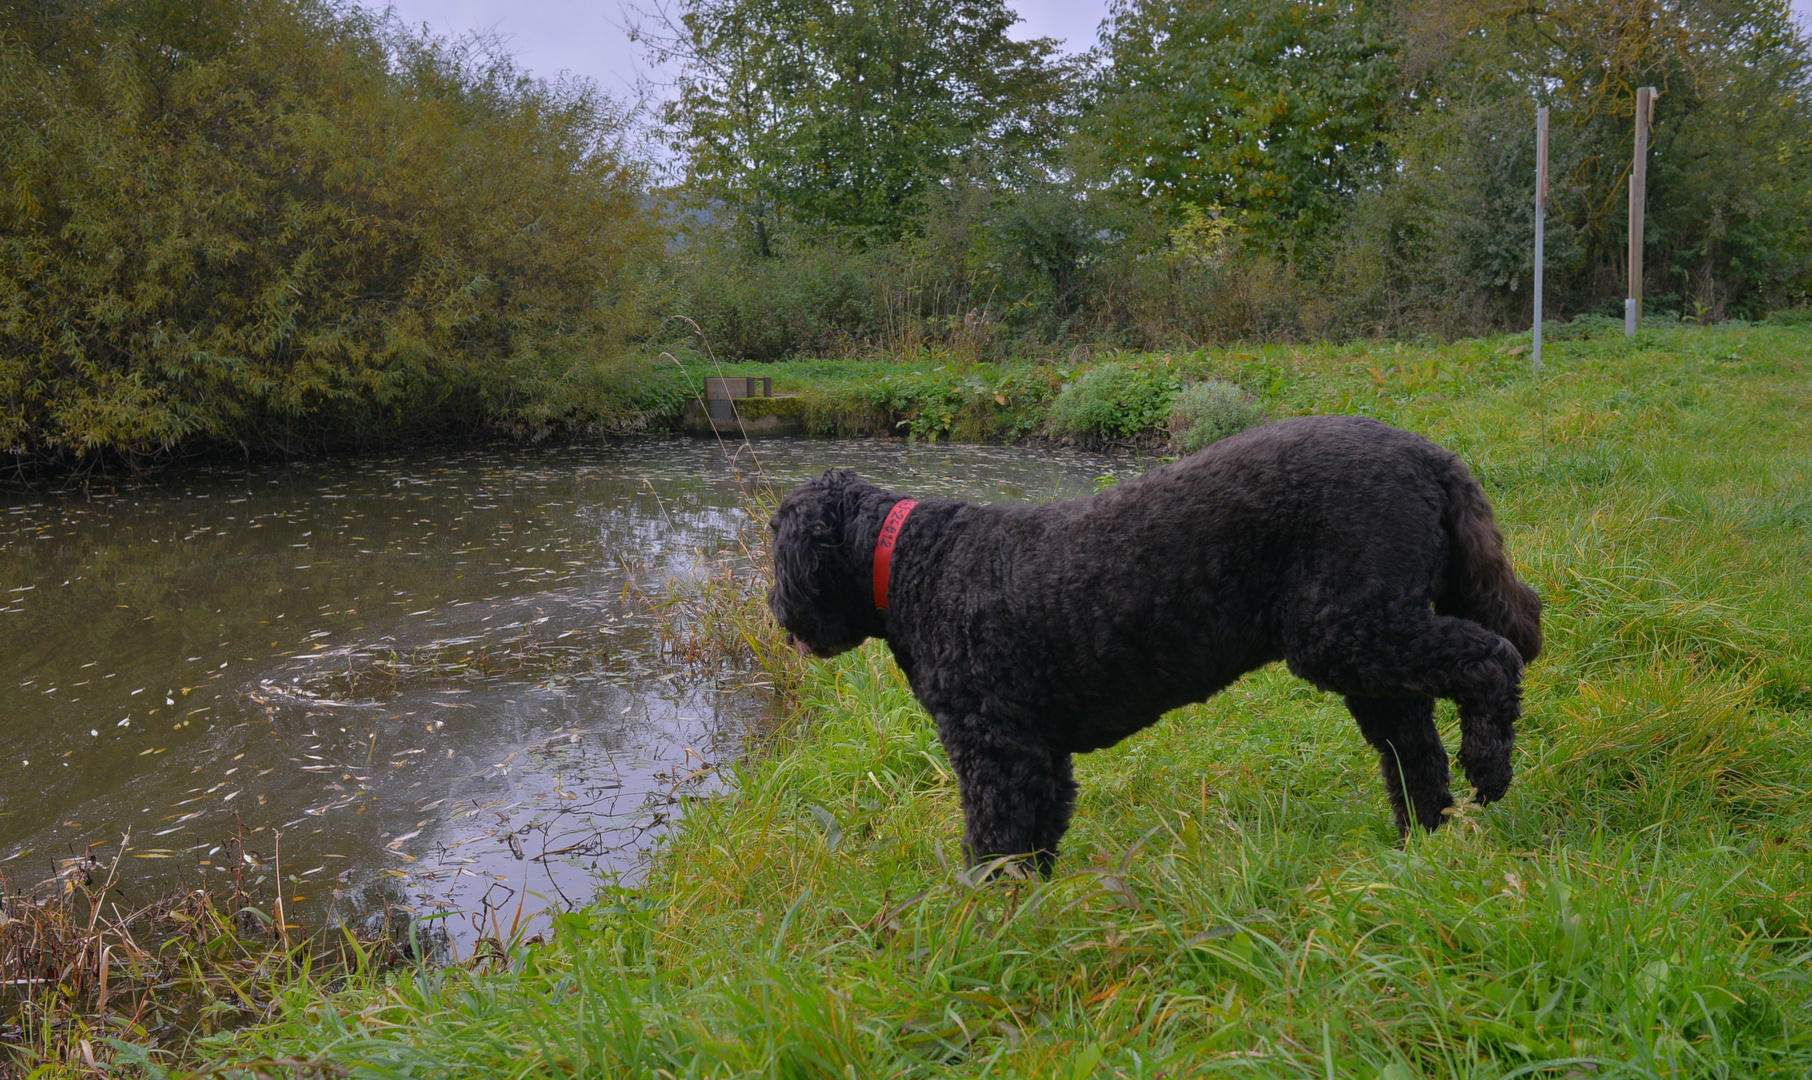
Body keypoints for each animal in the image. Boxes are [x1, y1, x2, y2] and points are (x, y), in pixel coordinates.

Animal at [764, 413, 1543, 877]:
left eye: (775, 548)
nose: (774, 611)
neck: (911, 563)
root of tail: (1429, 455)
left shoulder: (994, 748)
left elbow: (996, 843)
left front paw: (985, 924)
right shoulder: (1038, 755)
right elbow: (1036, 839)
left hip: (1351, 631)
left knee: (1492, 662)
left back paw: (1489, 765)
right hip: (1366, 647)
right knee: (1416, 750)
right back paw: (1423, 842)